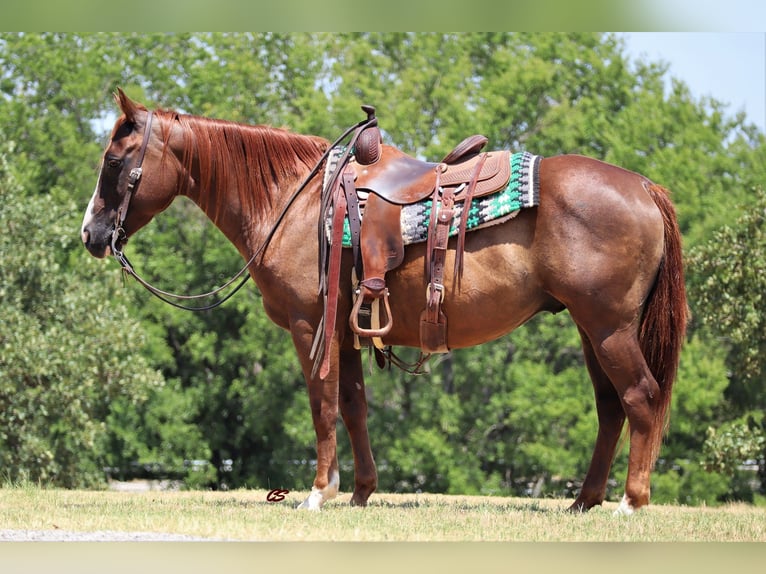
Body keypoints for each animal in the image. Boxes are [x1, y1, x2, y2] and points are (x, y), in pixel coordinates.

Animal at [82, 90, 688, 516]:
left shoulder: (310, 325)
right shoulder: (347, 329)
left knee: (640, 396)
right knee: (610, 408)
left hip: (608, 326)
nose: (91, 234)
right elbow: (353, 403)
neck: (295, 202)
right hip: (590, 329)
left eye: (113, 162)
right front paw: (360, 492)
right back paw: (584, 501)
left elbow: (322, 402)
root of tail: (643, 187)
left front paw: (319, 492)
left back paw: (631, 501)